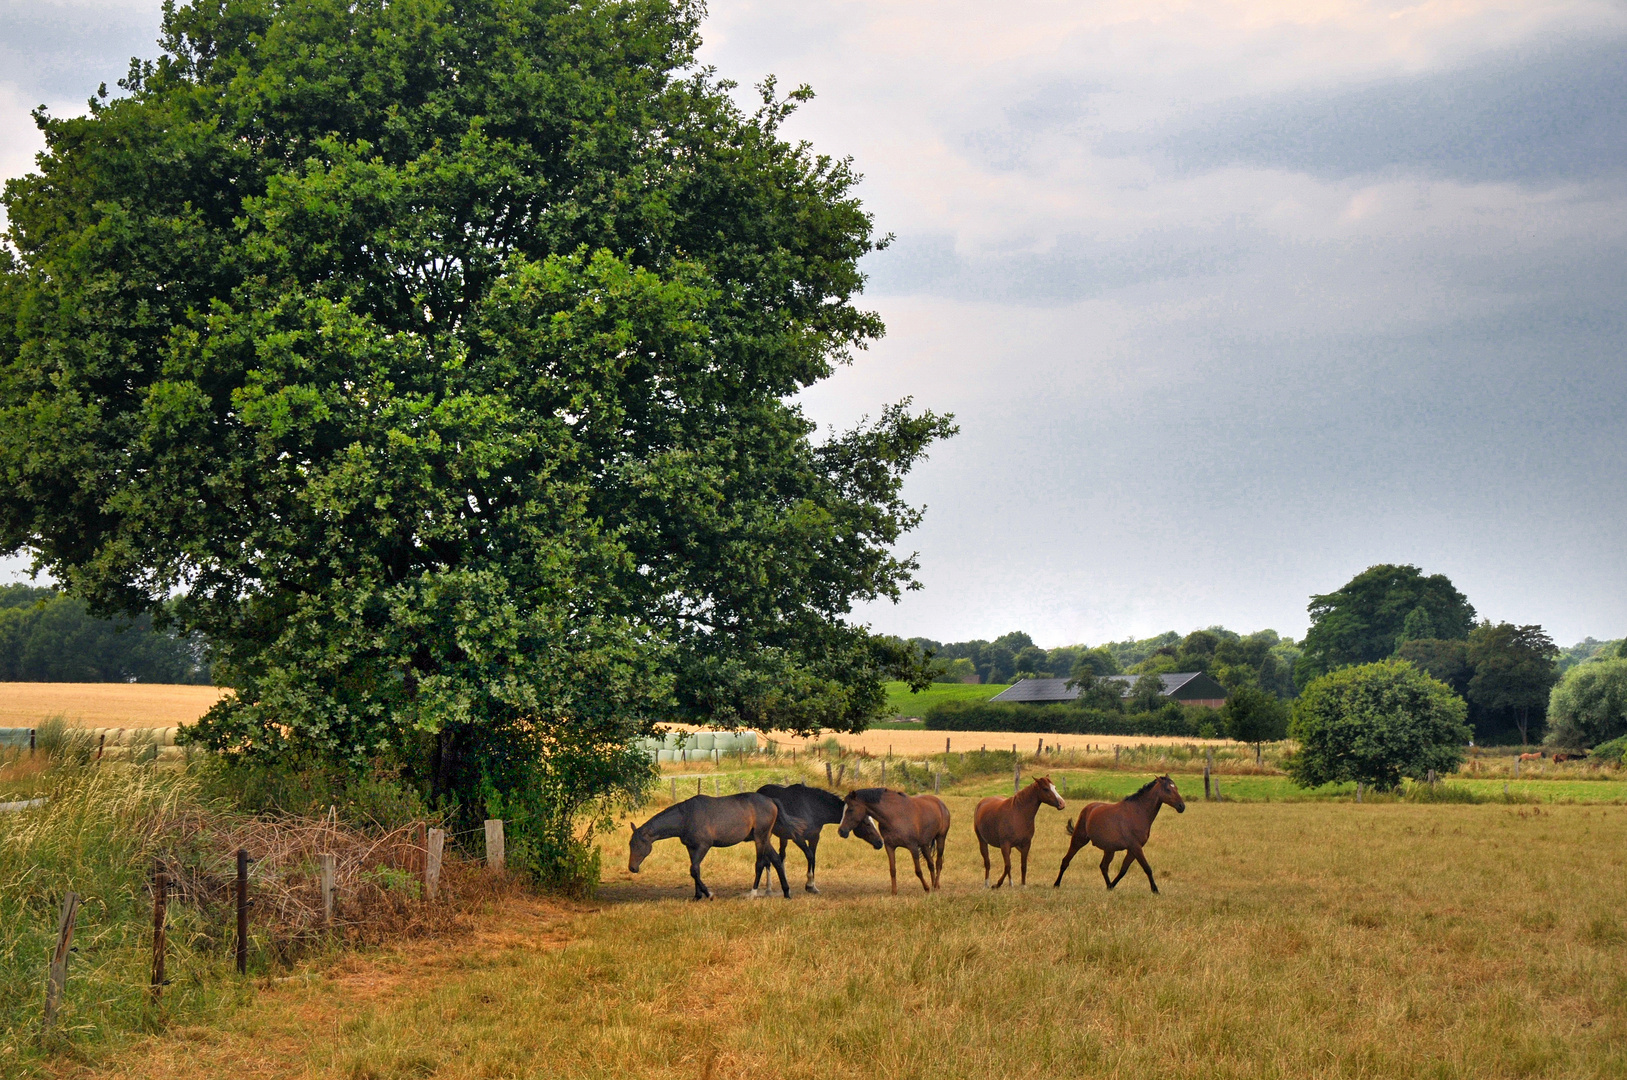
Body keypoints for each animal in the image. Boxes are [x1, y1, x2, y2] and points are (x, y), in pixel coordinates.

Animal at [624, 793, 790, 904]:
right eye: (630, 844)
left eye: (637, 844)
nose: (632, 868)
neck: (686, 817)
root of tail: (771, 800)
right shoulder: (691, 848)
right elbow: (695, 870)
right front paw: (697, 896)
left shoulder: (703, 846)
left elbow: (694, 870)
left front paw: (709, 894)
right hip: (765, 839)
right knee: (776, 860)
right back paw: (786, 893)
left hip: (760, 838)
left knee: (760, 864)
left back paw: (752, 893)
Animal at [1054, 777, 1184, 891]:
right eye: (1168, 789)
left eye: (1177, 788)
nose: (1182, 806)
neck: (1138, 812)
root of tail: (1088, 808)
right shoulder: (1136, 847)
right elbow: (1147, 868)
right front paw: (1155, 890)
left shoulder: (1132, 849)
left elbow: (1123, 870)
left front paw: (1111, 887)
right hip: (1078, 840)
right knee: (1066, 861)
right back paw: (1056, 884)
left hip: (1109, 850)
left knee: (1103, 867)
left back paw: (1108, 885)